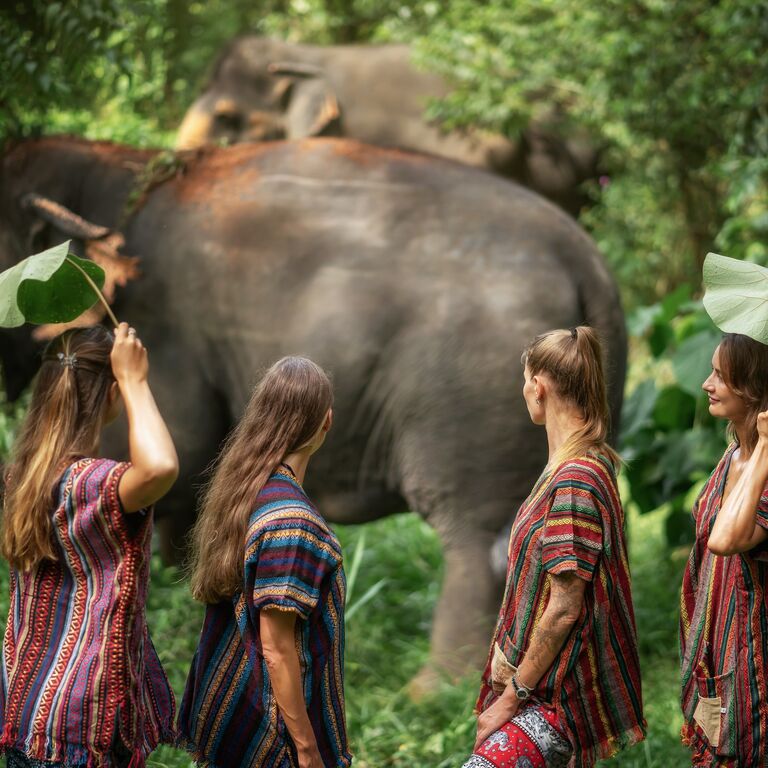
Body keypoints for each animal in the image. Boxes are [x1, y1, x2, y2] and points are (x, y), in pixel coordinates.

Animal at [0, 136, 626, 694]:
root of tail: (588, 259)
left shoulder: (166, 327)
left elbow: (176, 442)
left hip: (473, 390)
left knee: (481, 539)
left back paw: (430, 692)